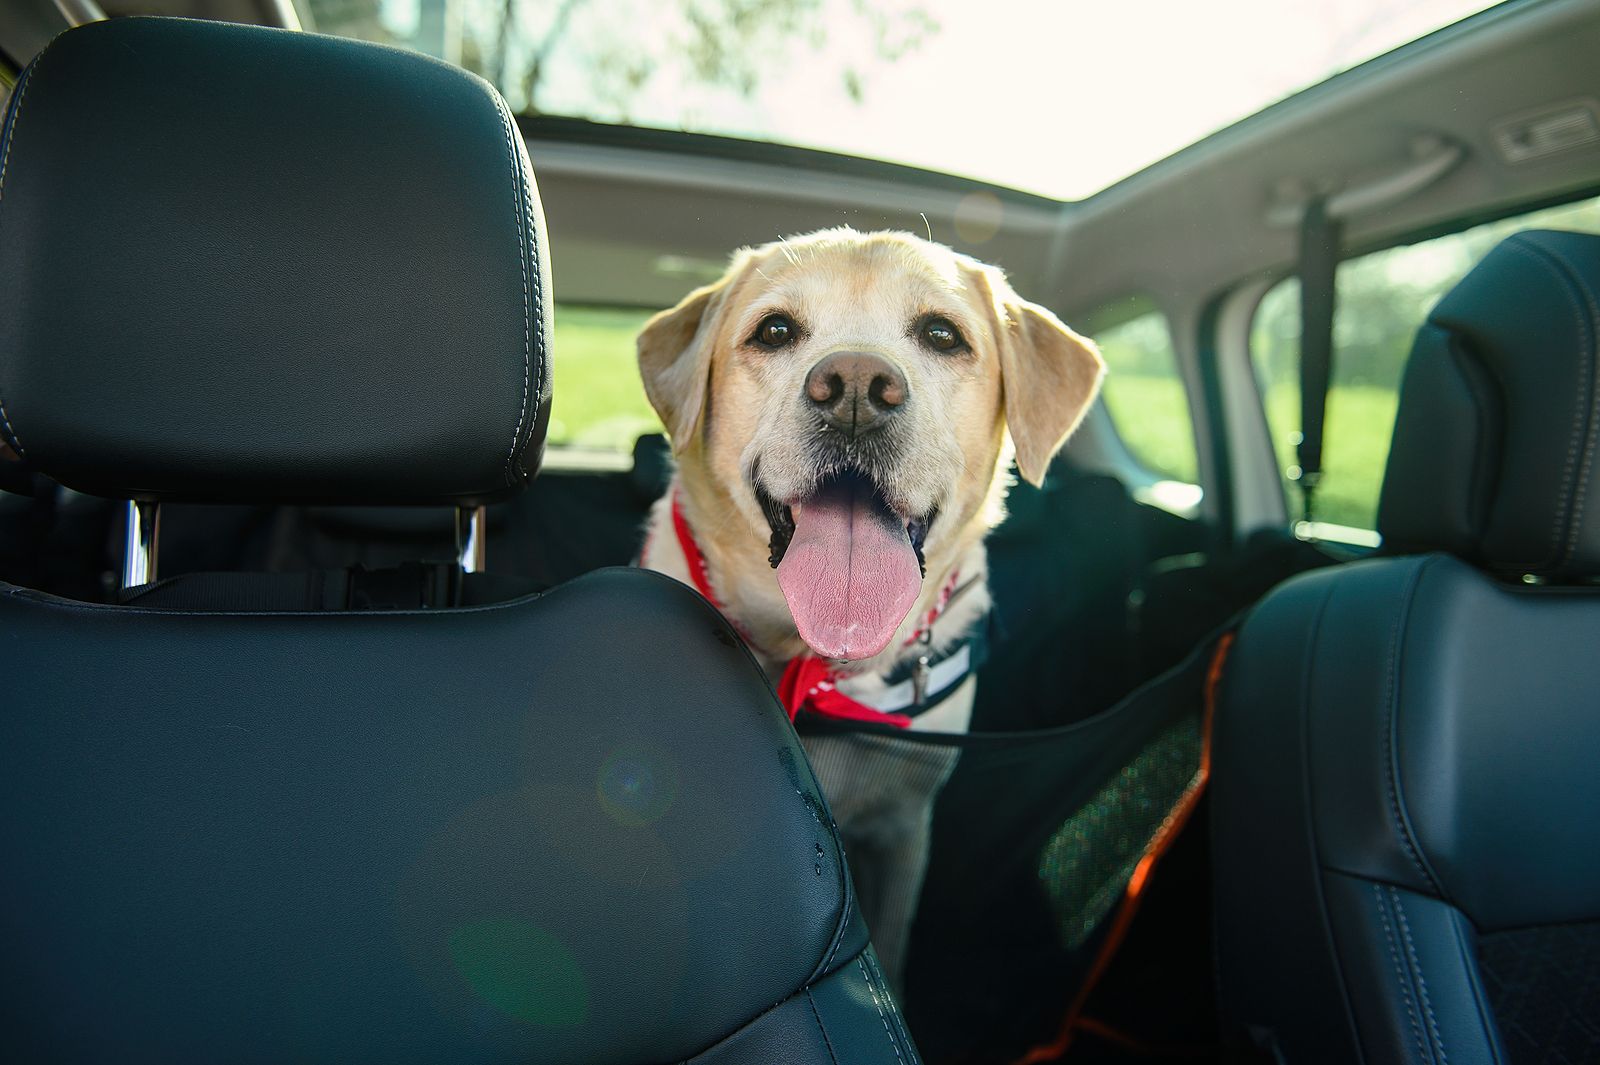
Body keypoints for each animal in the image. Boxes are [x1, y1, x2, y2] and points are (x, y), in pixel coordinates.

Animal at [636, 225, 1100, 985]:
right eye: (774, 330)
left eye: (942, 334)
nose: (855, 385)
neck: (818, 659)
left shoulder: (905, 826)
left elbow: (894, 928)